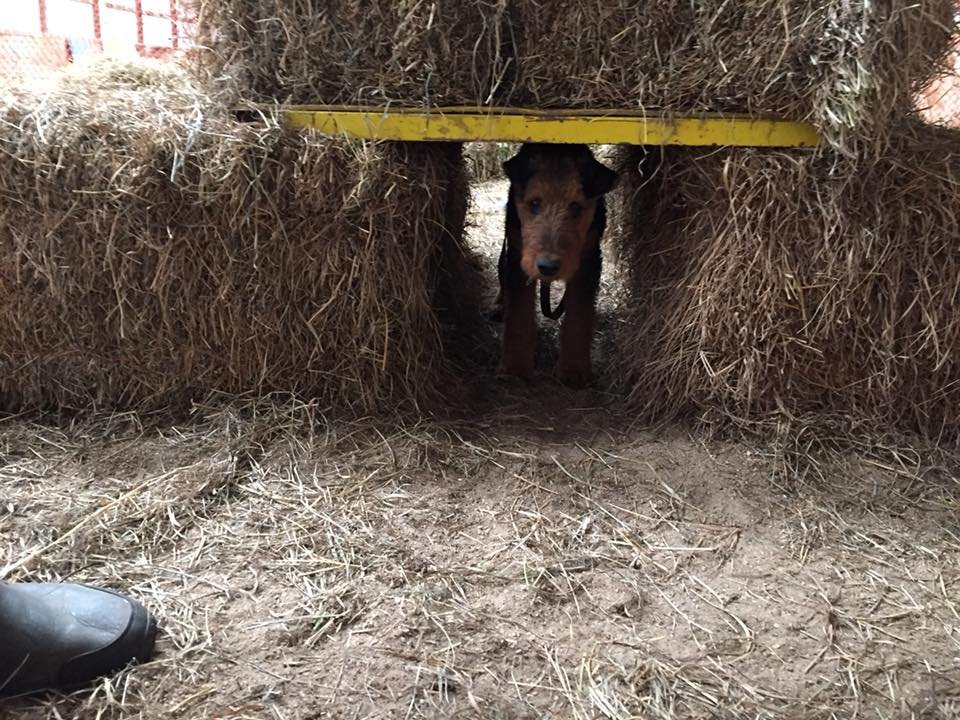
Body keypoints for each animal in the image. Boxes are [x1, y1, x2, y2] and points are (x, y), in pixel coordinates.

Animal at [492, 143, 620, 386]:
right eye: (534, 203)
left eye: (576, 207)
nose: (548, 267)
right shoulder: (518, 257)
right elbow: (519, 314)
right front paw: (515, 367)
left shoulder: (588, 262)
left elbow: (578, 316)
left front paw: (575, 370)